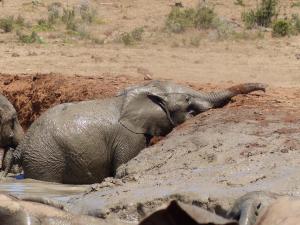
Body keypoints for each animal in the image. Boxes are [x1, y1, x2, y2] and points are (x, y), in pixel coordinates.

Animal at [10, 81, 266, 185]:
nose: (264, 88)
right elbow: (124, 163)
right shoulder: (128, 136)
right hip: (46, 159)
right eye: (187, 100)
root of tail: (23, 146)